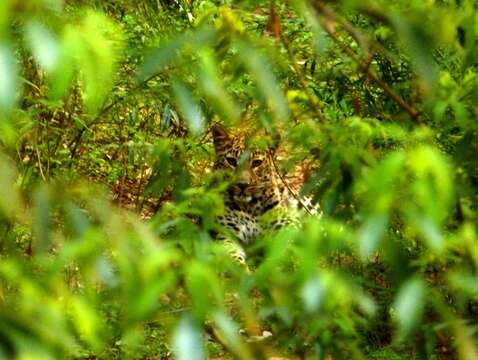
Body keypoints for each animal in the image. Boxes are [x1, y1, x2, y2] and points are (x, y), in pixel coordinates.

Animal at [212, 124, 318, 264]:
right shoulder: (226, 235)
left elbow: (285, 250)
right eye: (231, 161)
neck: (249, 207)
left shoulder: (287, 224)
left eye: (256, 163)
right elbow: (233, 258)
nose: (242, 184)